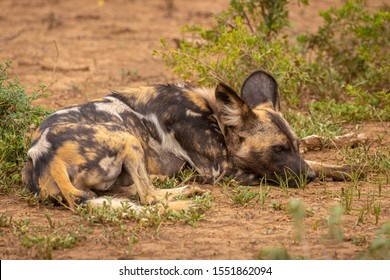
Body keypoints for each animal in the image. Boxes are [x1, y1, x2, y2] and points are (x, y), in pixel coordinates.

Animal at [22, 70, 316, 210]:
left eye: (294, 145)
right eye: (278, 149)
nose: (309, 178)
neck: (213, 114)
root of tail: (44, 157)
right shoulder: (221, 171)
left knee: (130, 190)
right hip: (126, 137)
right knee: (148, 196)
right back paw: (185, 198)